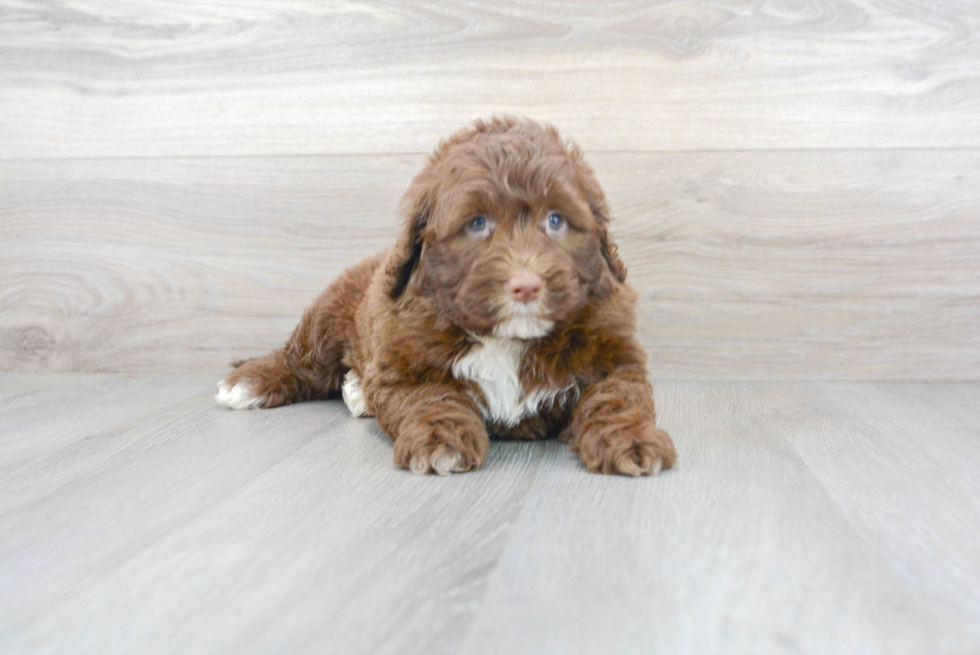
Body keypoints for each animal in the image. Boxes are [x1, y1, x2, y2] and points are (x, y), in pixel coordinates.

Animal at [215, 116, 676, 476]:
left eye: (556, 220)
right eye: (477, 223)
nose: (526, 284)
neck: (508, 339)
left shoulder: (616, 358)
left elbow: (617, 399)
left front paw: (632, 440)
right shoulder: (408, 366)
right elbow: (434, 398)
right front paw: (441, 442)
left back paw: (356, 390)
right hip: (330, 314)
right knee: (303, 360)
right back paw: (250, 382)